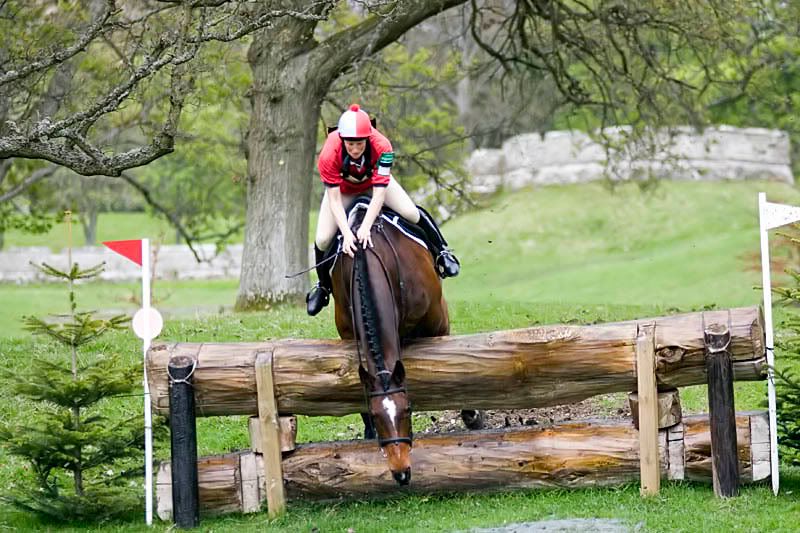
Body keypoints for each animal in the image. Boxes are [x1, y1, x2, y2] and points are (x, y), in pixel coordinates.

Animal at [329, 201, 481, 485]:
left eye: (408, 410)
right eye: (376, 416)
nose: (401, 473)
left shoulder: (437, 320)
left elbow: (454, 364)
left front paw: (472, 415)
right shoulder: (348, 334)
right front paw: (368, 431)